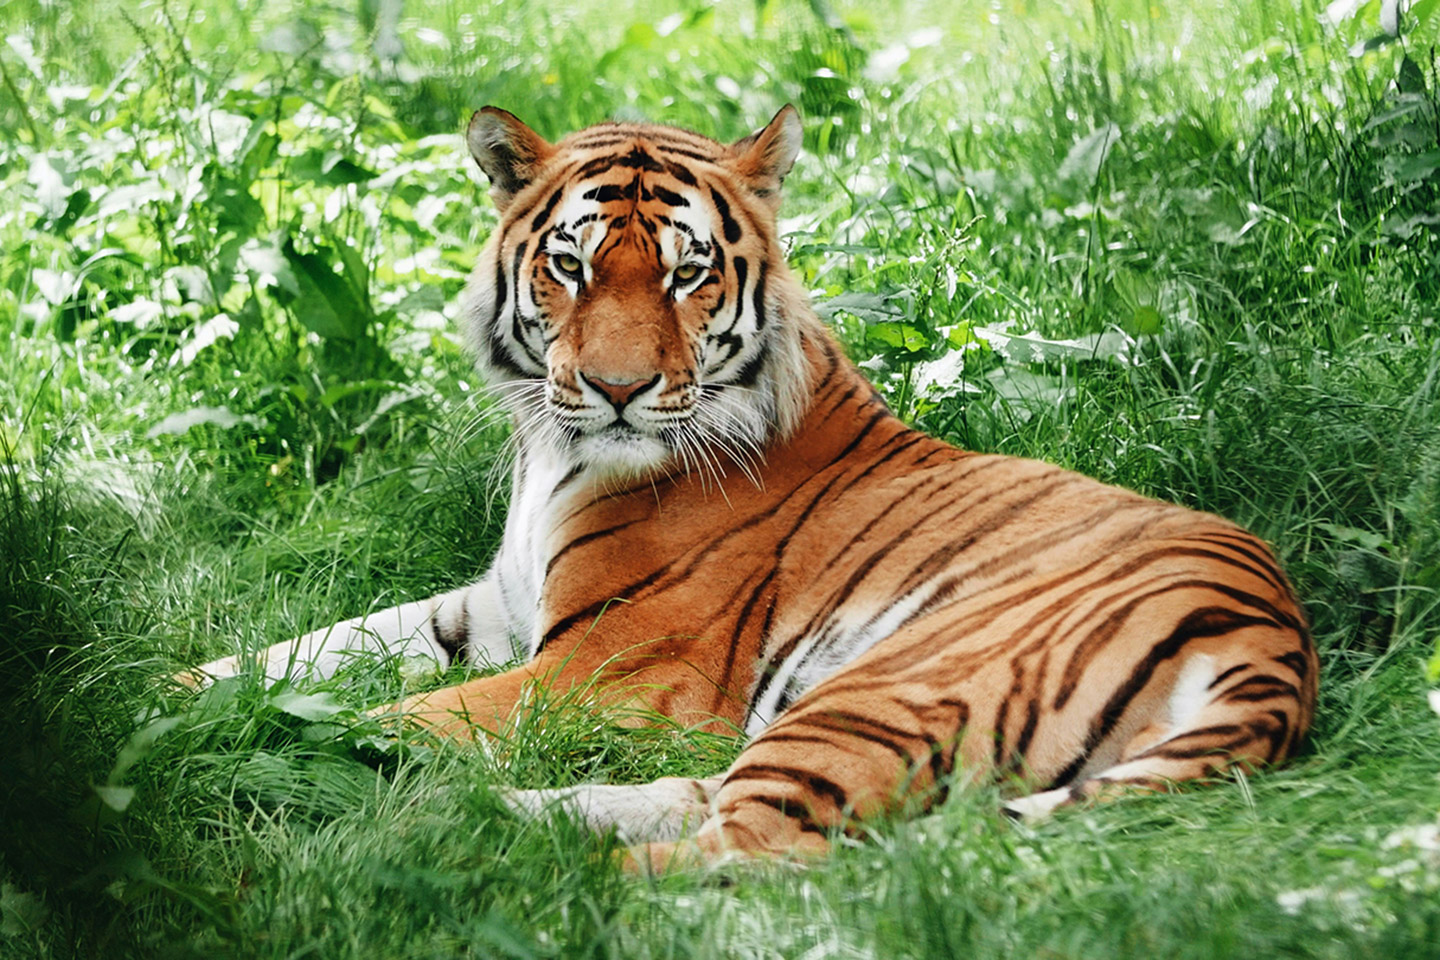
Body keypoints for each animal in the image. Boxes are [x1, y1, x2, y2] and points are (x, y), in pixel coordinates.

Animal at [186, 104, 1318, 872]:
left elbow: (395, 715)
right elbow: (301, 653)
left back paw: (481, 863)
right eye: (571, 267)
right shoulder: (490, 609)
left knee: (748, 856)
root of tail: (1274, 640)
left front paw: (258, 747)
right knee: (707, 804)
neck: (556, 457)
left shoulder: (606, 672)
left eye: (687, 274)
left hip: (877, 689)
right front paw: (170, 698)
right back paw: (481, 821)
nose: (617, 389)